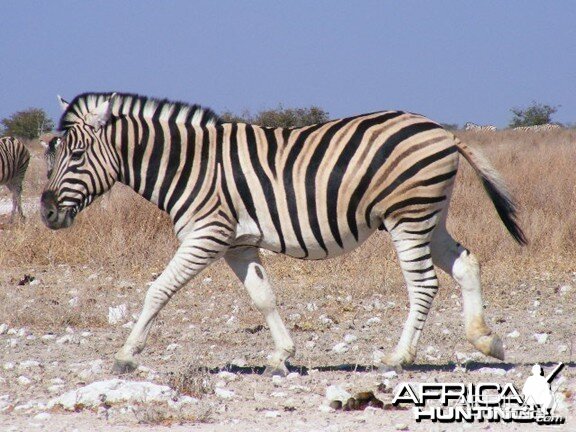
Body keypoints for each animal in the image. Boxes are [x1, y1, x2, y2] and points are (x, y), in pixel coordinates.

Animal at [40, 93, 528, 374]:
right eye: (53, 152)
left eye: (76, 154)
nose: (44, 212)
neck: (188, 165)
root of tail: (441, 131)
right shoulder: (237, 244)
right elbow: (264, 298)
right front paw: (282, 356)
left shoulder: (206, 234)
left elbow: (158, 290)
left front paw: (125, 354)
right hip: (430, 215)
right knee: (465, 263)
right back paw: (486, 339)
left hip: (407, 216)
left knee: (424, 284)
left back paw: (399, 358)